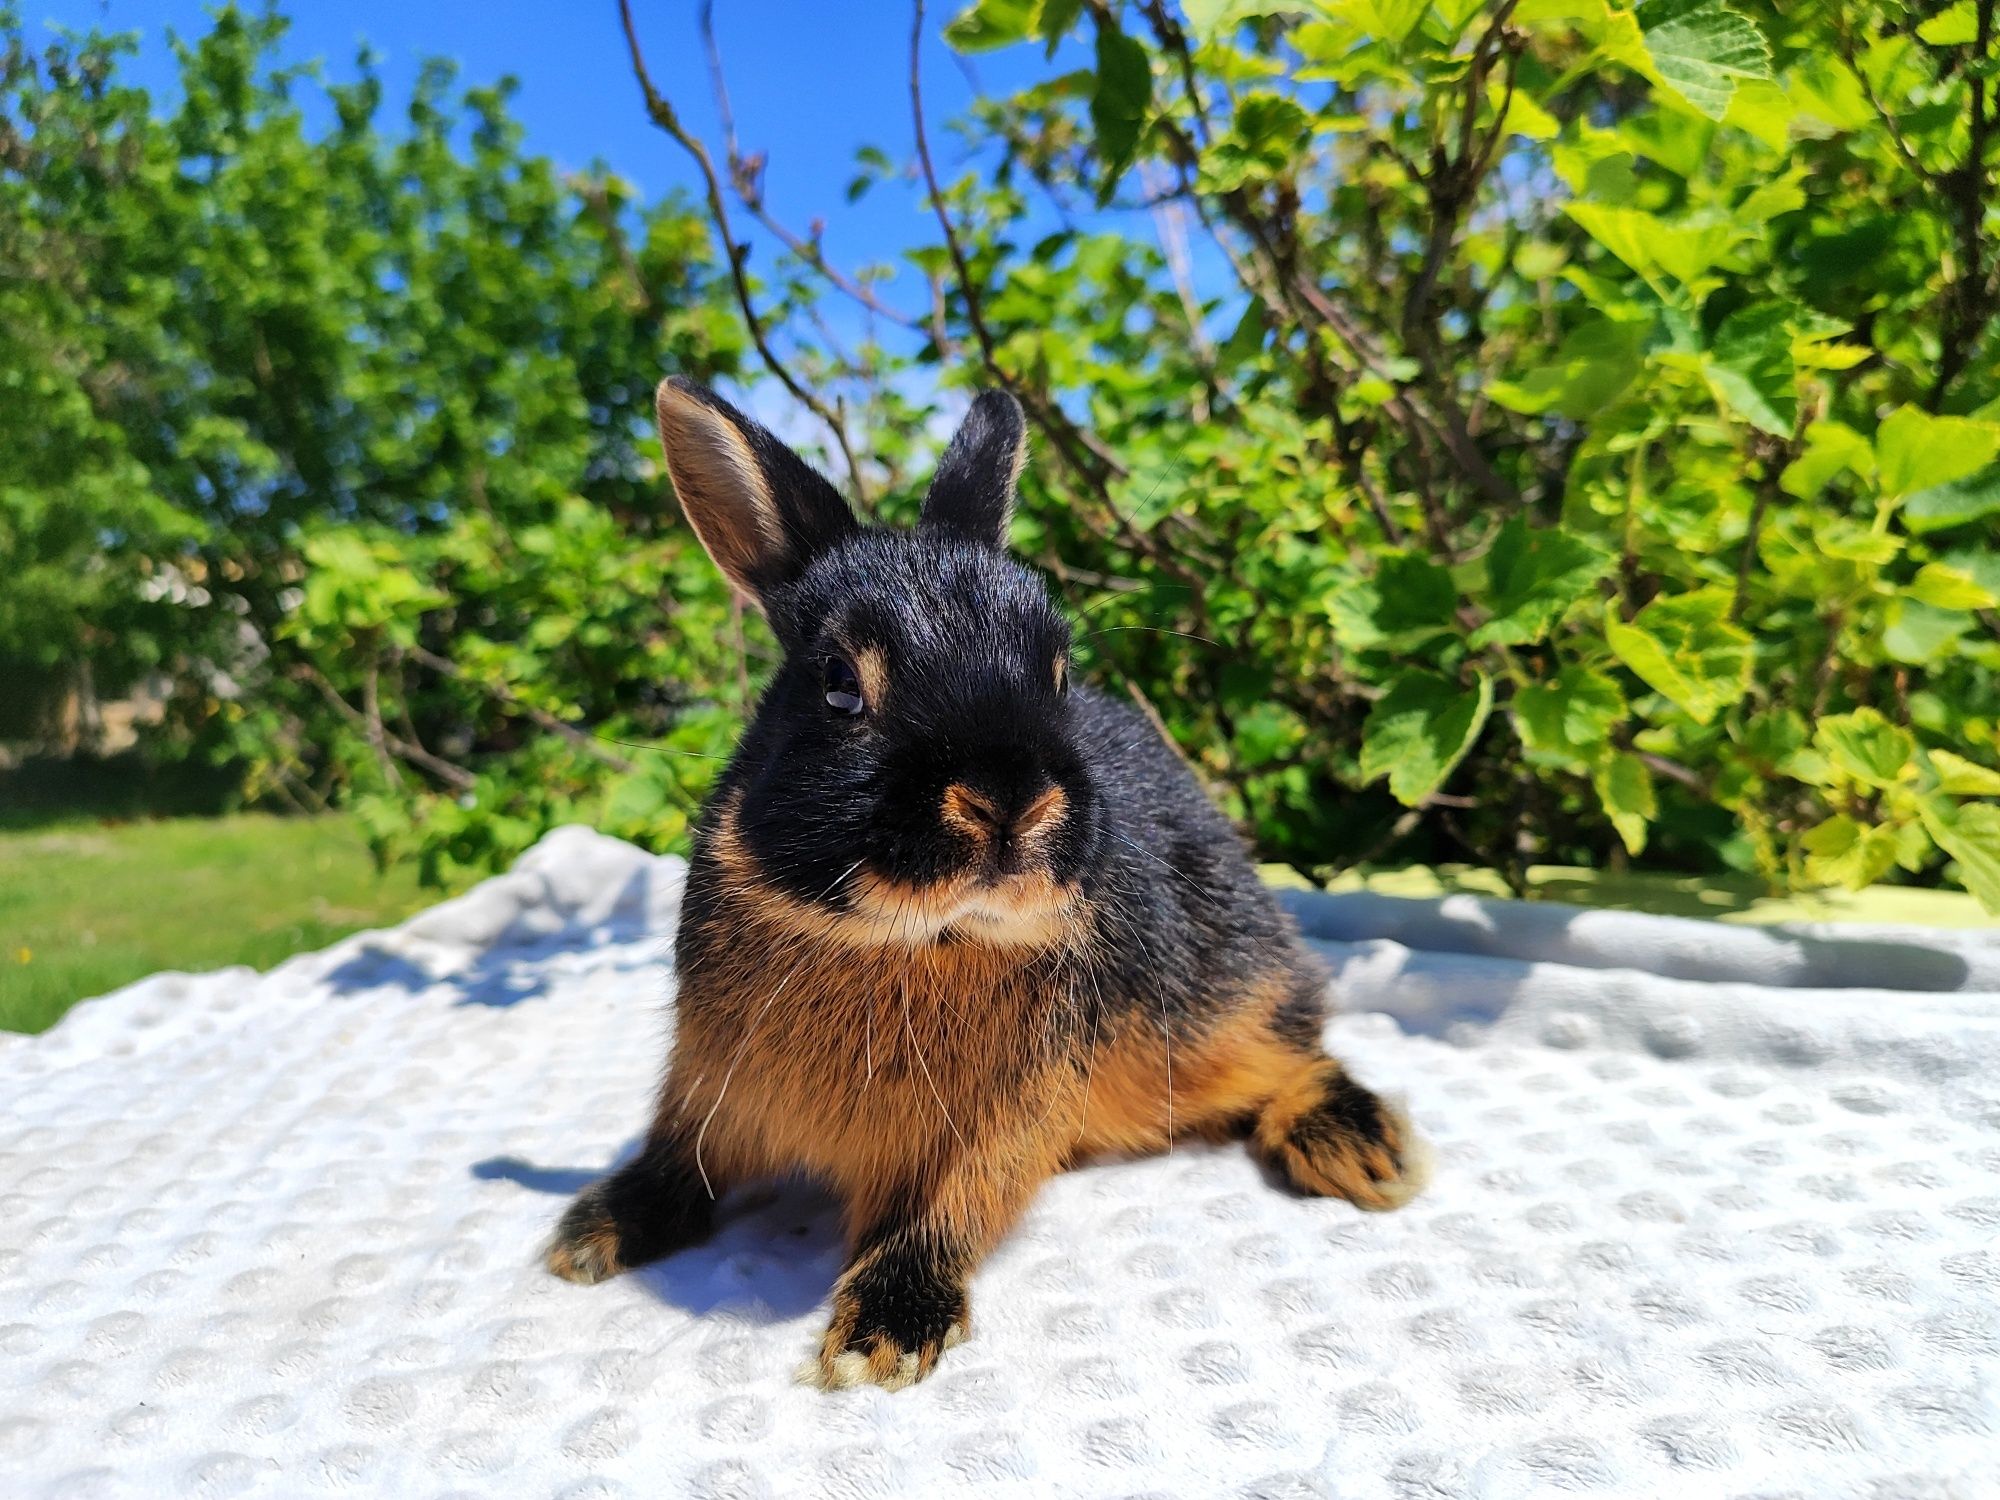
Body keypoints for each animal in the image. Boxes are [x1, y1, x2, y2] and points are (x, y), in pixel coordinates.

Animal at [548, 382, 1424, 1392]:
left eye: (1059, 672)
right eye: (838, 683)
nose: (1009, 797)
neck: (913, 939)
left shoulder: (1002, 1124)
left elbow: (947, 1211)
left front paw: (881, 1337)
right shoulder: (706, 1083)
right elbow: (676, 1162)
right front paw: (590, 1236)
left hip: (1225, 1006)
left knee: (1297, 1049)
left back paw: (1361, 1150)